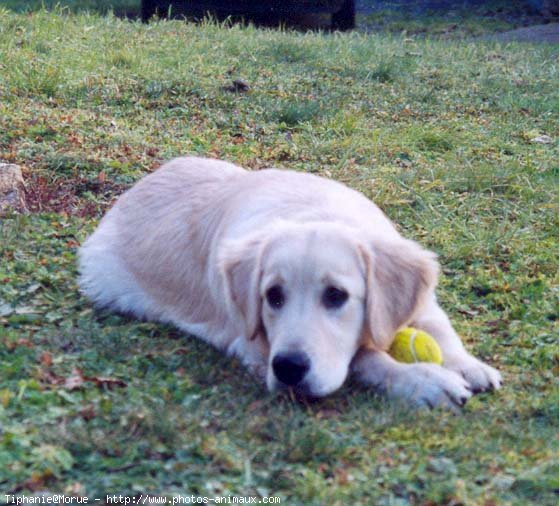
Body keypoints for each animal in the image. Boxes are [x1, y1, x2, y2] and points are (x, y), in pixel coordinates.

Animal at [77, 156, 498, 410]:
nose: (289, 369)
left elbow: (439, 327)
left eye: (336, 296)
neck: (315, 212)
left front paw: (469, 365)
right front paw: (423, 380)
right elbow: (365, 357)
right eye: (272, 296)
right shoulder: (255, 345)